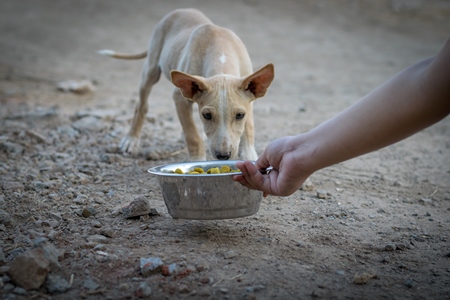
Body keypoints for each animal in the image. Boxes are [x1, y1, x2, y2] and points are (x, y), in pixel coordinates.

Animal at [99, 8, 274, 161]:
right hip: (151, 70)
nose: (223, 156)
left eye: (240, 115)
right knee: (141, 106)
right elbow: (192, 134)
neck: (221, 54)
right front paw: (197, 161)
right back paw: (131, 140)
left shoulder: (249, 100)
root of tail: (180, 10)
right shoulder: (179, 98)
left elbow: (249, 127)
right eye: (207, 115)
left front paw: (249, 155)